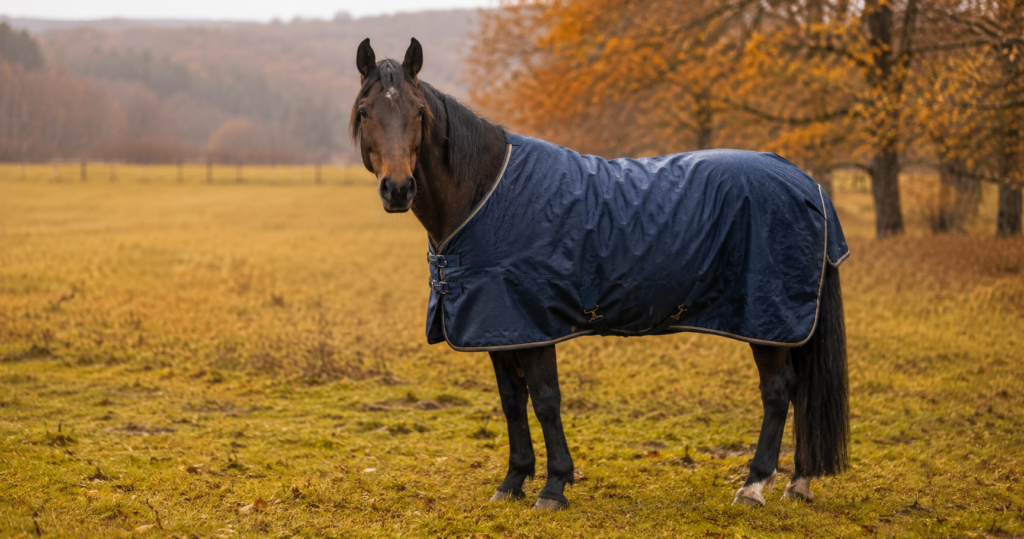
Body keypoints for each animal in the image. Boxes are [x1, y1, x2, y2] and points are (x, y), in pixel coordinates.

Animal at [350, 37, 850, 511]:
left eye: (419, 113)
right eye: (365, 111)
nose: (398, 189)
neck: (484, 195)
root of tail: (807, 182)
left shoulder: (533, 325)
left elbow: (545, 400)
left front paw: (553, 487)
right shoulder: (496, 327)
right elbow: (512, 402)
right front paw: (512, 482)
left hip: (768, 321)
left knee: (778, 391)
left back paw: (754, 486)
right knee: (800, 390)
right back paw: (798, 482)